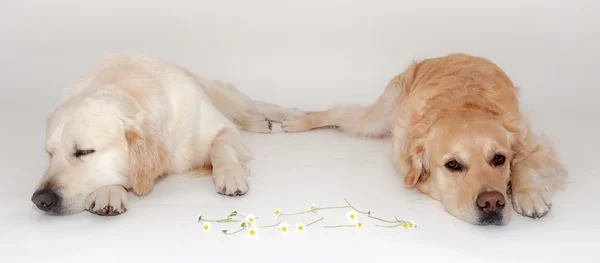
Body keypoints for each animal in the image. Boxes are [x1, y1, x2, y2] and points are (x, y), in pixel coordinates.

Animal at [30, 54, 298, 217]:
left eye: (83, 151)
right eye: (50, 154)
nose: (40, 199)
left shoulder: (222, 129)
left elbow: (221, 146)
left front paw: (230, 174)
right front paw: (109, 191)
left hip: (226, 97)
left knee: (256, 107)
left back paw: (286, 117)